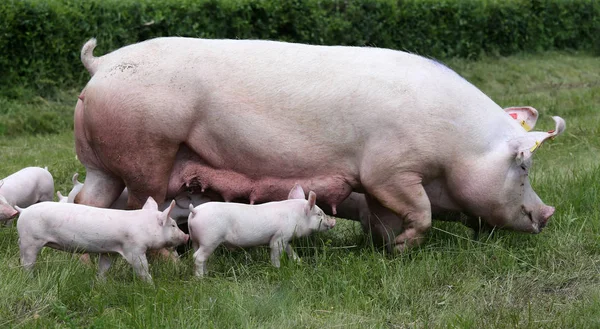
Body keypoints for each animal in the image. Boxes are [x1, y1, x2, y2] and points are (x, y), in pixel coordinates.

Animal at [72, 37, 564, 250]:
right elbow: (419, 210)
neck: (457, 145)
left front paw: (386, 249)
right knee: (142, 206)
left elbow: (384, 219)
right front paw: (405, 246)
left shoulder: (380, 185)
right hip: (145, 153)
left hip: (100, 164)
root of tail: (103, 65)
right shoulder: (389, 170)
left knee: (88, 201)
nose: (548, 213)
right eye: (524, 166)